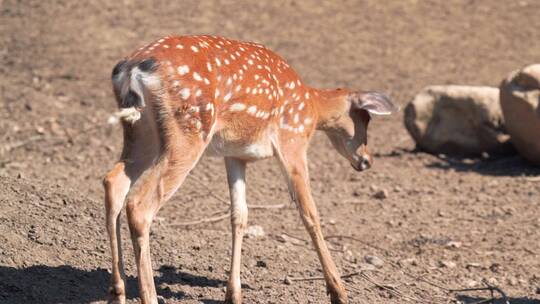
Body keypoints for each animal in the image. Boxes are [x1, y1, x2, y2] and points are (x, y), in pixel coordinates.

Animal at [103, 35, 396, 304]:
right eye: (365, 119)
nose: (367, 160)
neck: (311, 108)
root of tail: (132, 69)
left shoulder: (234, 154)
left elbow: (239, 215)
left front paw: (233, 294)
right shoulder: (292, 141)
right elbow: (310, 213)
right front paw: (338, 291)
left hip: (141, 133)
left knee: (113, 181)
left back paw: (117, 292)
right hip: (188, 130)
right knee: (139, 205)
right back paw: (148, 296)